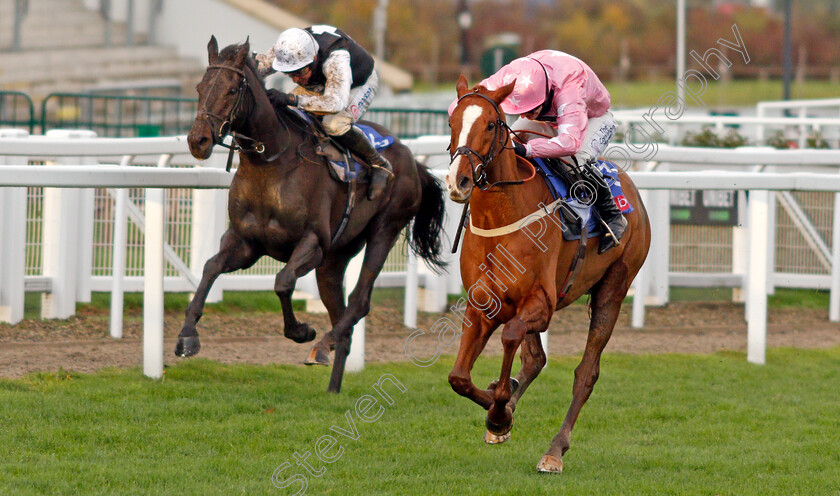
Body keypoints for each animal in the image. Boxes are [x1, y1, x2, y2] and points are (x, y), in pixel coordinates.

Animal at [182, 36, 446, 392]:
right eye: (200, 87)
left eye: (232, 90)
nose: (198, 141)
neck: (269, 164)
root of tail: (411, 159)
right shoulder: (245, 243)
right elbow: (210, 268)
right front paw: (187, 336)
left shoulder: (313, 242)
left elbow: (283, 282)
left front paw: (301, 331)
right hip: (335, 259)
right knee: (342, 314)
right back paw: (333, 385)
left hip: (385, 229)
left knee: (359, 302)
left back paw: (321, 345)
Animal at [446, 76, 648, 472]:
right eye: (451, 122)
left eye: (490, 125)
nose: (457, 181)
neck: (500, 219)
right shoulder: (483, 304)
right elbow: (458, 377)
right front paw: (499, 412)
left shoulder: (540, 302)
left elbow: (510, 336)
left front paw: (500, 413)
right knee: (536, 359)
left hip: (614, 287)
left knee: (586, 373)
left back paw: (554, 451)